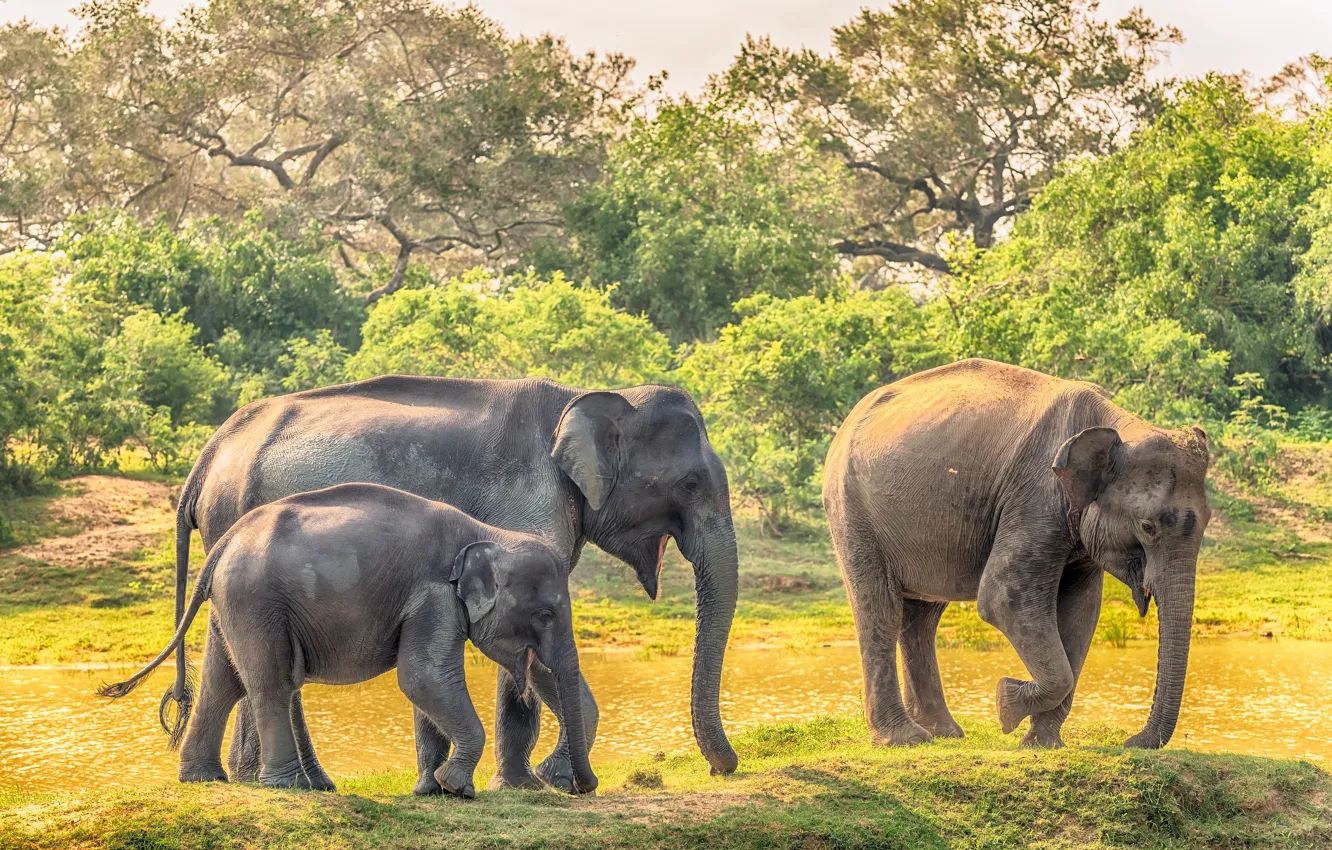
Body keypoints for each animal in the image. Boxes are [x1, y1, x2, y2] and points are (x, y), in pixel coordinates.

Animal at [100, 483, 597, 798]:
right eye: (546, 615)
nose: (582, 787)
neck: (488, 534)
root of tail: (223, 542)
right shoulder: (434, 594)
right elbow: (423, 678)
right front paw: (457, 787)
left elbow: (426, 685)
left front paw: (433, 791)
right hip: (255, 600)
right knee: (272, 684)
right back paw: (288, 787)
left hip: (236, 604)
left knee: (225, 684)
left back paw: (207, 781)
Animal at [166, 375, 739, 793]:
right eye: (690, 484)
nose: (722, 768)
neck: (585, 395)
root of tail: (206, 457)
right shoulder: (529, 499)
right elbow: (526, 653)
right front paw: (531, 785)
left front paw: (525, 782)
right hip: (239, 528)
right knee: (276, 668)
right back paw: (296, 784)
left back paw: (251, 779)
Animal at [823, 359, 1211, 750]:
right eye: (1147, 527)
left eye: (1208, 520)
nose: (1131, 741)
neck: (1114, 424)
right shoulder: (1036, 495)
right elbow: (1004, 598)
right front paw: (1005, 704)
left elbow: (1081, 612)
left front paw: (1042, 743)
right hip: (852, 510)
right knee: (881, 610)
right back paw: (906, 739)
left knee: (921, 618)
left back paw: (943, 733)